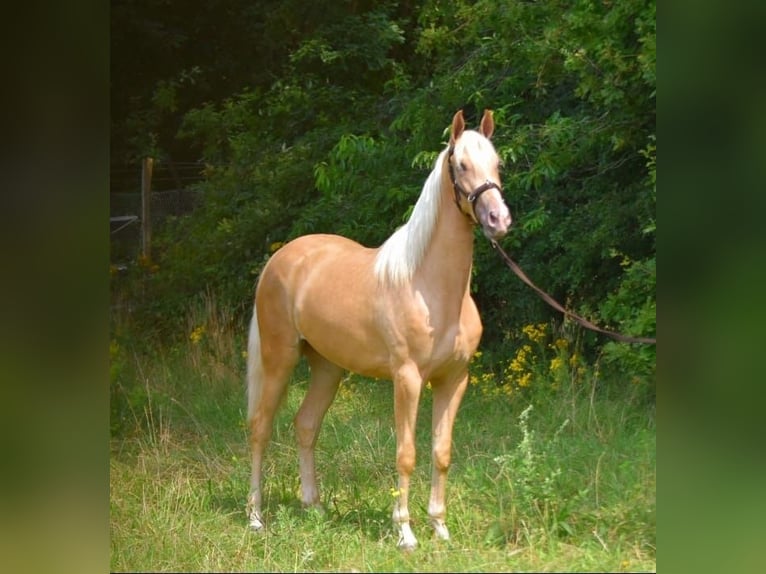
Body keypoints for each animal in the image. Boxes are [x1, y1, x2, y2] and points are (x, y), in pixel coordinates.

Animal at [246, 110, 510, 552]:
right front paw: (405, 533)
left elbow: (441, 452)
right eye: (460, 165)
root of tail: (279, 260)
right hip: (279, 359)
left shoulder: (454, 380)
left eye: (498, 164)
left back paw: (313, 508)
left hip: (327, 368)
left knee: (306, 425)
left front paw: (440, 528)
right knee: (260, 428)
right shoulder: (407, 379)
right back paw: (255, 517)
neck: (430, 287)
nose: (498, 220)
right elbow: (406, 453)